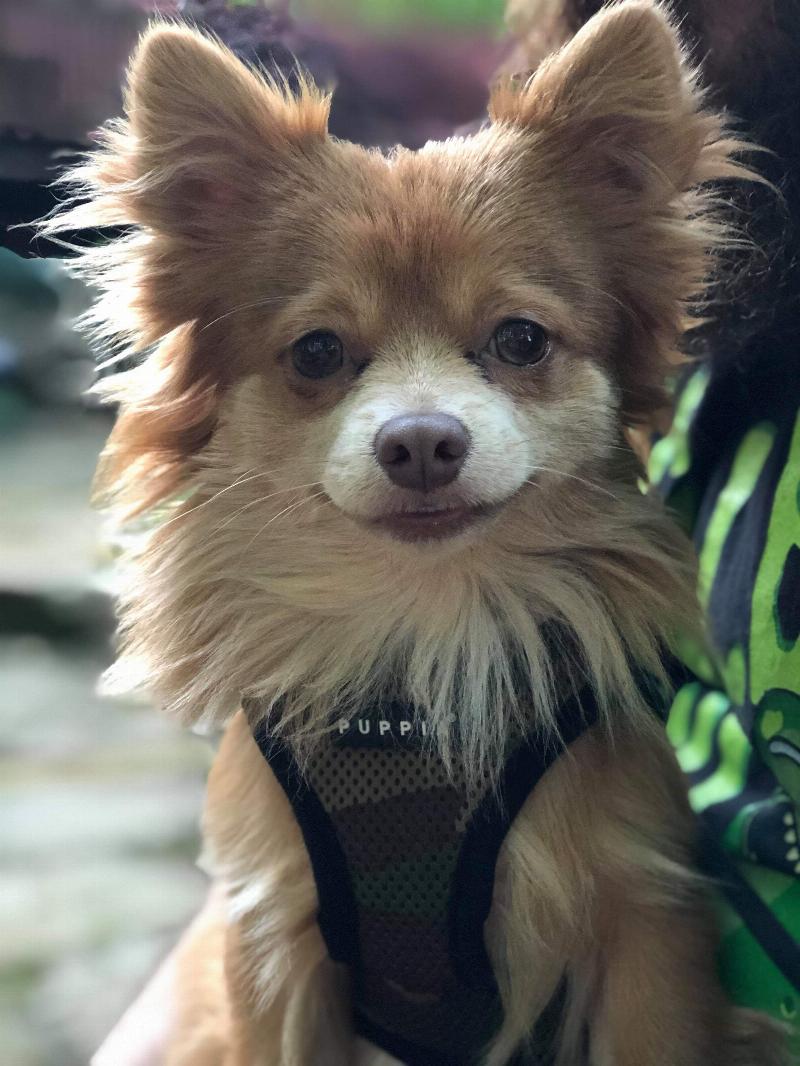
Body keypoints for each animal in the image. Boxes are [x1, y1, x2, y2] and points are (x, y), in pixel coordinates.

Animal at [47, 2, 788, 1062]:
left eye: (522, 339)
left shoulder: (647, 921)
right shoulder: (271, 940)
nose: (422, 441)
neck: (424, 640)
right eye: (318, 353)